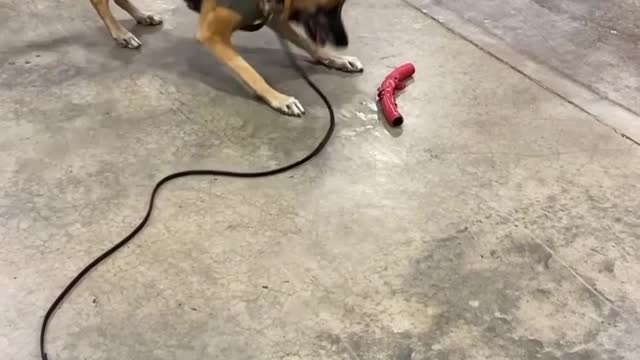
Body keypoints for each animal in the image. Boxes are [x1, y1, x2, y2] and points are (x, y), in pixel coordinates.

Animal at [87, 0, 362, 115]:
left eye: (339, 7)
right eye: (328, 9)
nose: (344, 42)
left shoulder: (271, 15)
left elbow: (307, 43)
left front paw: (334, 59)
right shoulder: (212, 35)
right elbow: (250, 71)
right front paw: (277, 98)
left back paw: (141, 16)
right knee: (99, 1)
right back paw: (120, 33)